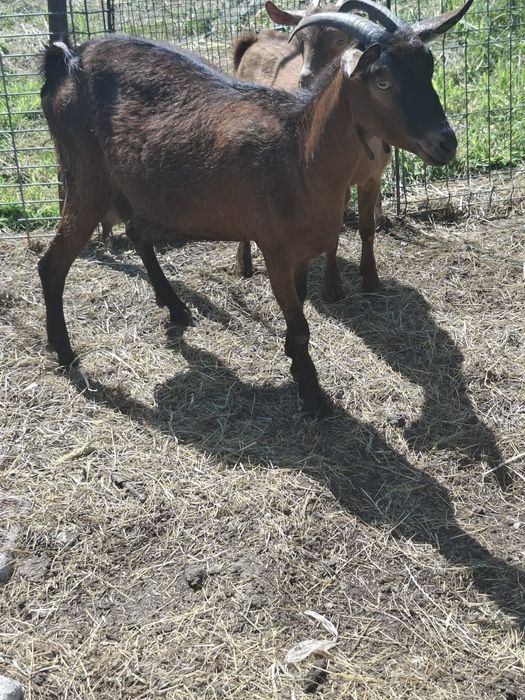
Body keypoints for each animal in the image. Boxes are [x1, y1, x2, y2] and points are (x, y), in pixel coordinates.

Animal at [39, 1, 472, 415]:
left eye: (429, 69)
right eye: (383, 82)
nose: (446, 142)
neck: (300, 155)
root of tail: (69, 58)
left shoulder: (302, 251)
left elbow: (301, 309)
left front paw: (294, 362)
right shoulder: (275, 248)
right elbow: (300, 325)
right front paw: (313, 397)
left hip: (134, 186)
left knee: (136, 234)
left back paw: (176, 308)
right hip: (86, 178)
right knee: (52, 264)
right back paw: (65, 353)